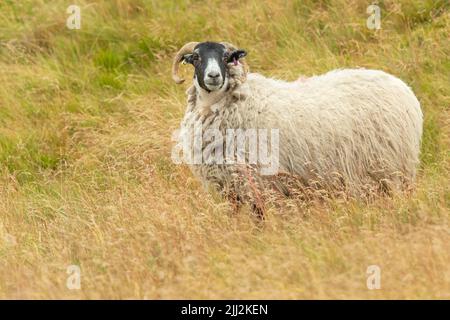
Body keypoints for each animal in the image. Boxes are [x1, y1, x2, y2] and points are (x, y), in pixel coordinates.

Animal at [171, 40, 424, 218]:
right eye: (195, 58)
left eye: (226, 57)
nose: (213, 76)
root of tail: (405, 90)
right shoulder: (229, 188)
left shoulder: (257, 183)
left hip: (390, 169)